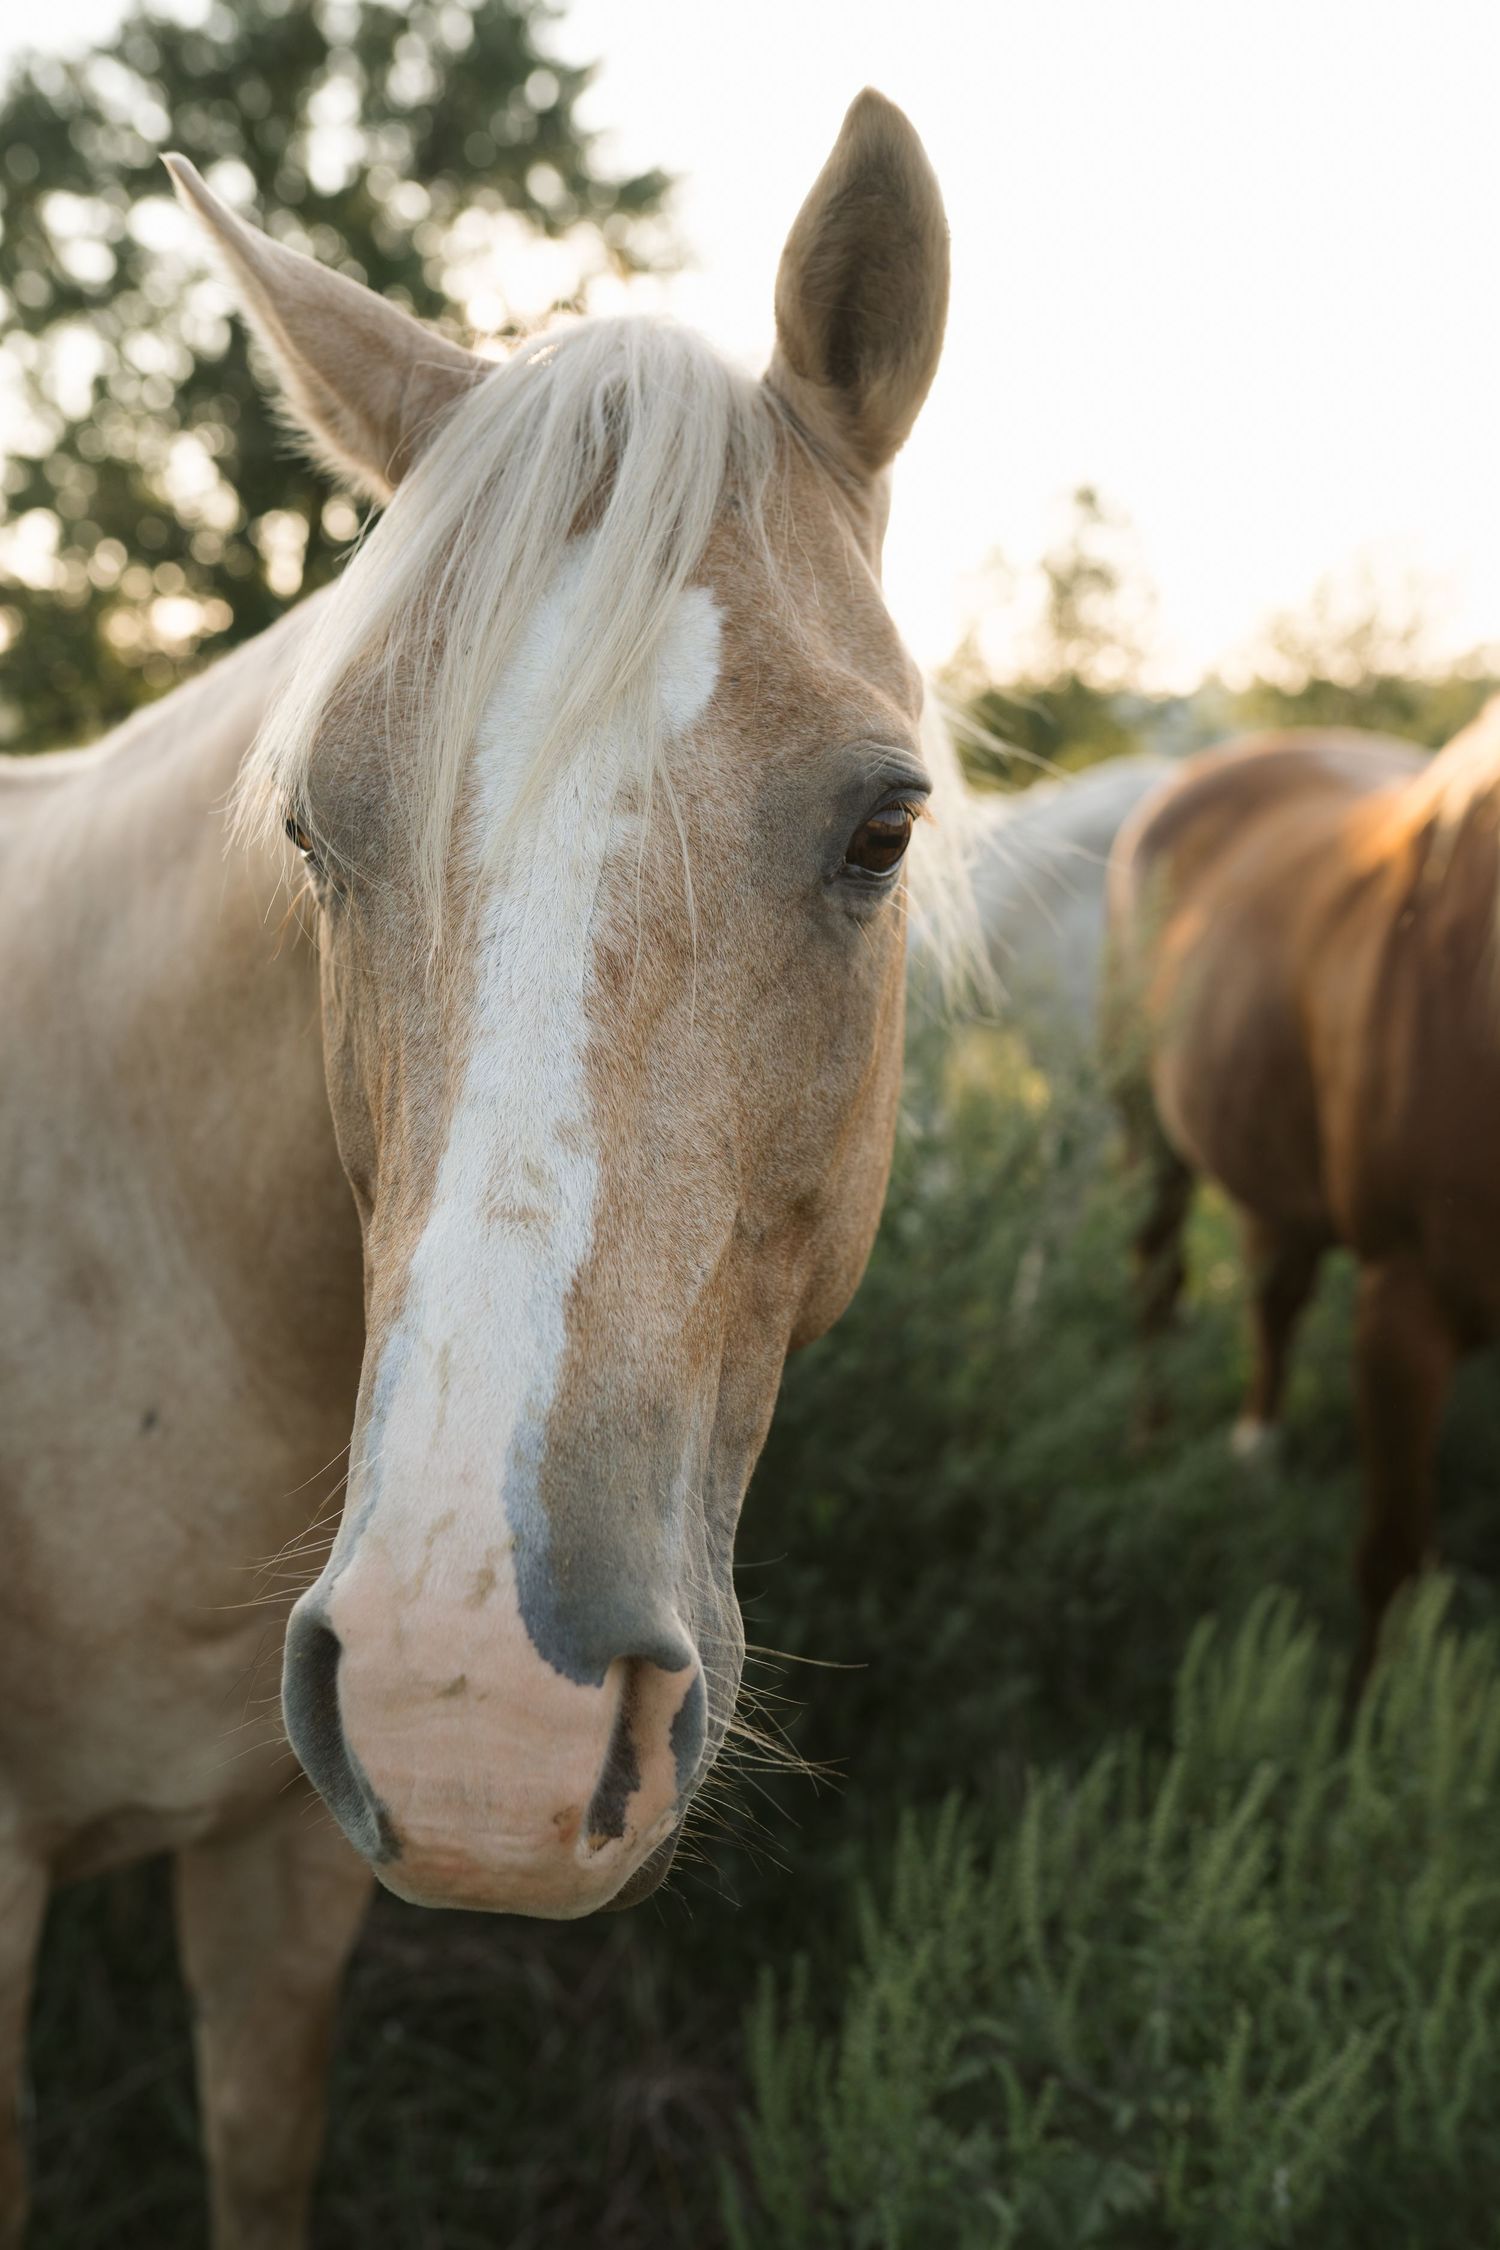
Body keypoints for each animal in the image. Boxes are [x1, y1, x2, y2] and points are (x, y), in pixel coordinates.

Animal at [1106, 708, 1500, 1672]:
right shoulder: (1402, 1305)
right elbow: (1392, 1564)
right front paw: (1370, 1713)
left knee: (1272, 1293)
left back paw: (1255, 1452)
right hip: (1150, 1133)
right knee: (1157, 1283)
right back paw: (1151, 1444)